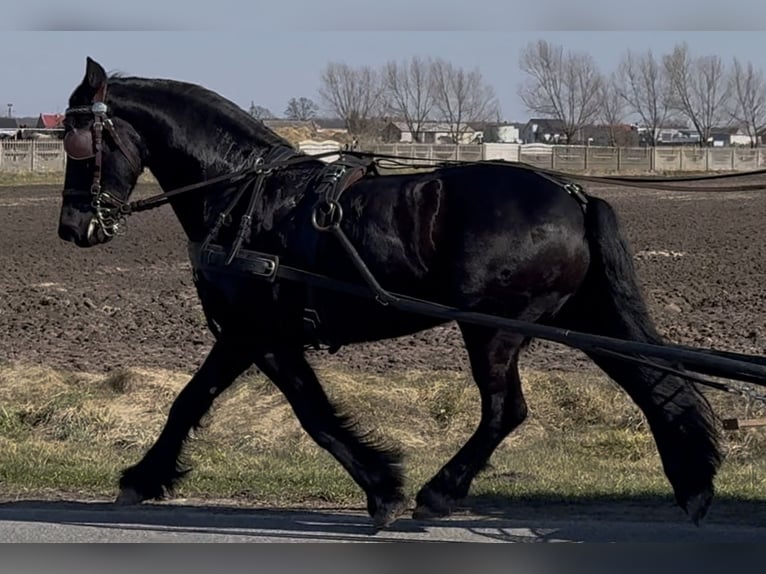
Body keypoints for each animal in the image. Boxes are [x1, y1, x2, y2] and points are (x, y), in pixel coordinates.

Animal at [57, 58, 724, 532]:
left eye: (79, 142)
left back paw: (440, 492)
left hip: (492, 327)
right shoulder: (261, 337)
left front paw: (385, 489)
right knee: (654, 383)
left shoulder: (253, 332)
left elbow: (269, 411)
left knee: (505, 411)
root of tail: (573, 193)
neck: (245, 195)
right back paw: (693, 484)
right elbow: (244, 405)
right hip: (579, 316)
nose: (73, 228)